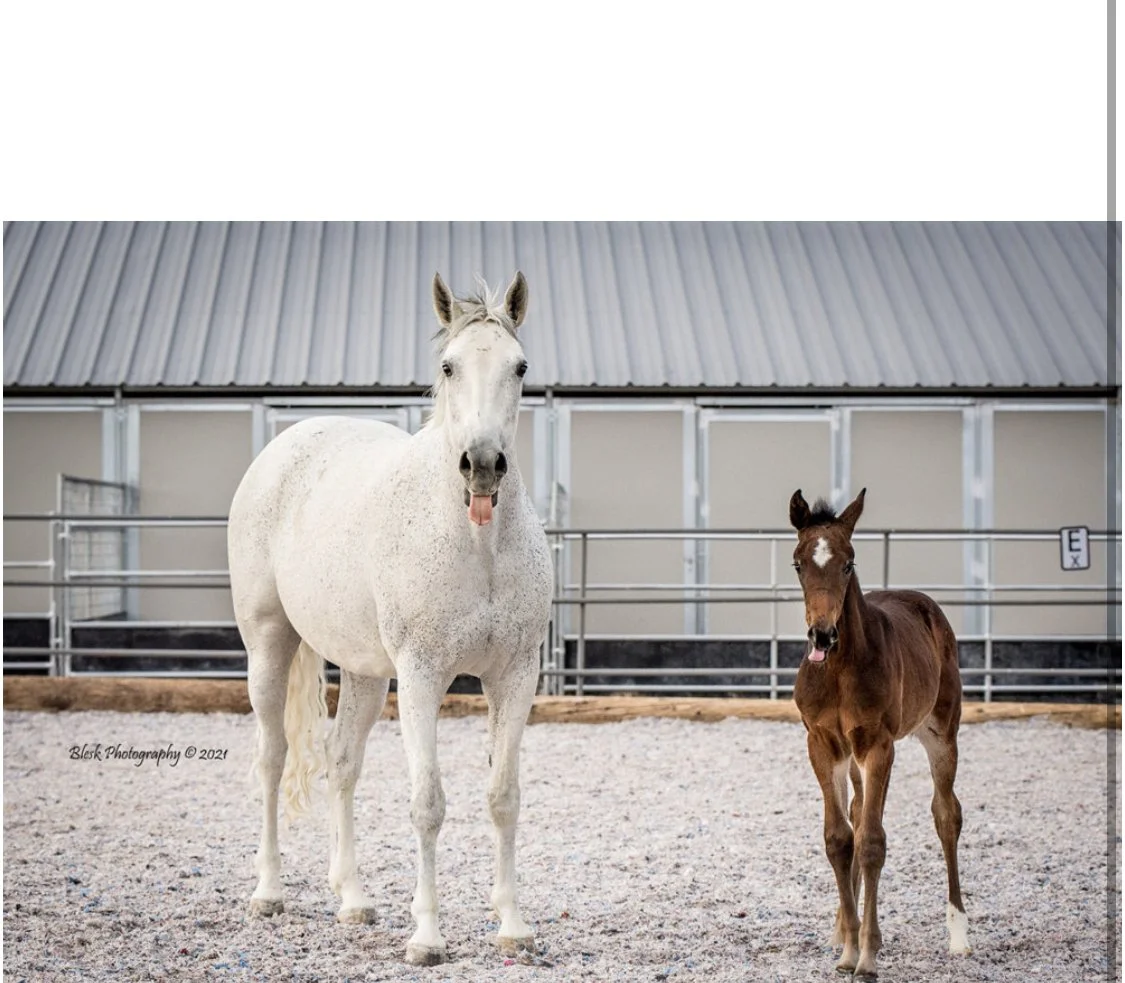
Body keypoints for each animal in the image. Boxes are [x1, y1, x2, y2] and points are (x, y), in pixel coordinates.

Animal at [227, 272, 553, 966]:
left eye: (519, 367)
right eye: (449, 366)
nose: (482, 465)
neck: (476, 543)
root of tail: (284, 448)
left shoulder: (515, 676)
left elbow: (503, 798)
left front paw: (512, 925)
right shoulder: (424, 678)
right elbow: (427, 803)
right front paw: (426, 936)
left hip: (365, 674)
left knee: (341, 762)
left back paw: (352, 899)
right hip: (268, 643)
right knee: (271, 757)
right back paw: (268, 892)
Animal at [788, 488, 970, 980]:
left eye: (848, 562)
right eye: (798, 563)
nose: (823, 635)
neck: (838, 671)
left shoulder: (879, 744)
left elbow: (871, 841)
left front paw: (866, 956)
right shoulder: (823, 744)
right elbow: (840, 838)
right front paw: (848, 948)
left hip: (940, 731)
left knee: (946, 813)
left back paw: (959, 935)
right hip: (855, 756)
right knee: (857, 810)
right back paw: (842, 929)